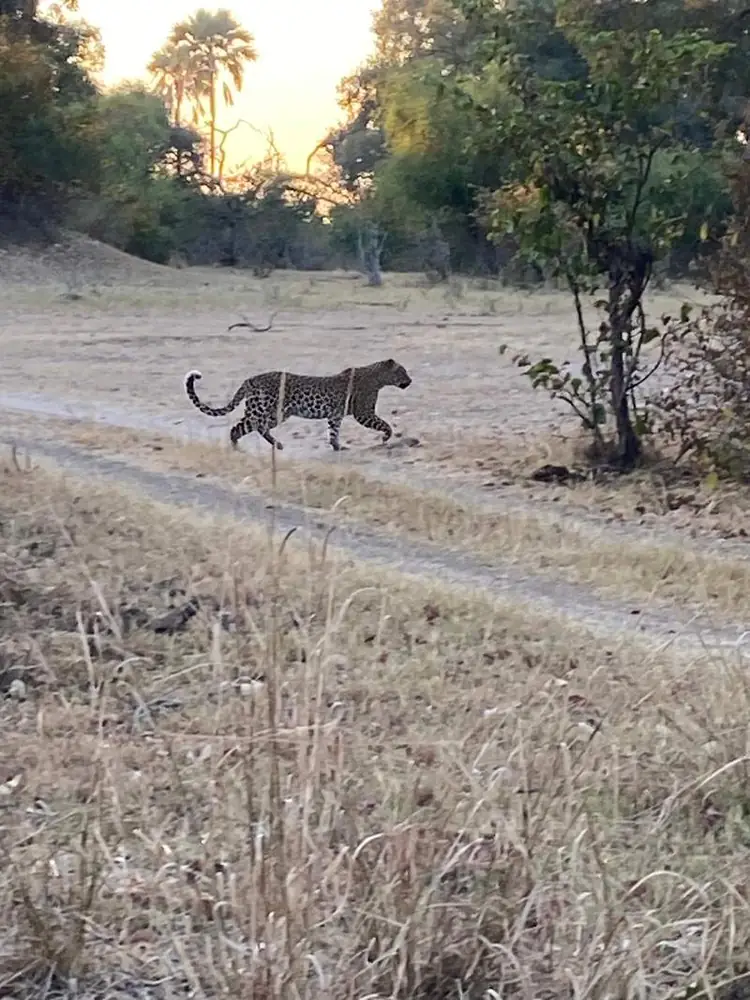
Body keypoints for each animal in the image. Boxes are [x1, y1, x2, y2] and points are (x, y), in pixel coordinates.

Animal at [184, 358, 412, 452]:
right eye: (403, 371)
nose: (410, 381)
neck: (379, 377)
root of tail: (250, 379)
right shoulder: (364, 413)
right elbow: (384, 424)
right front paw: (386, 437)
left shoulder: (335, 416)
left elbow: (333, 431)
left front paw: (337, 447)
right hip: (267, 410)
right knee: (246, 427)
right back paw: (241, 446)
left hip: (271, 412)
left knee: (251, 426)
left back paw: (267, 445)